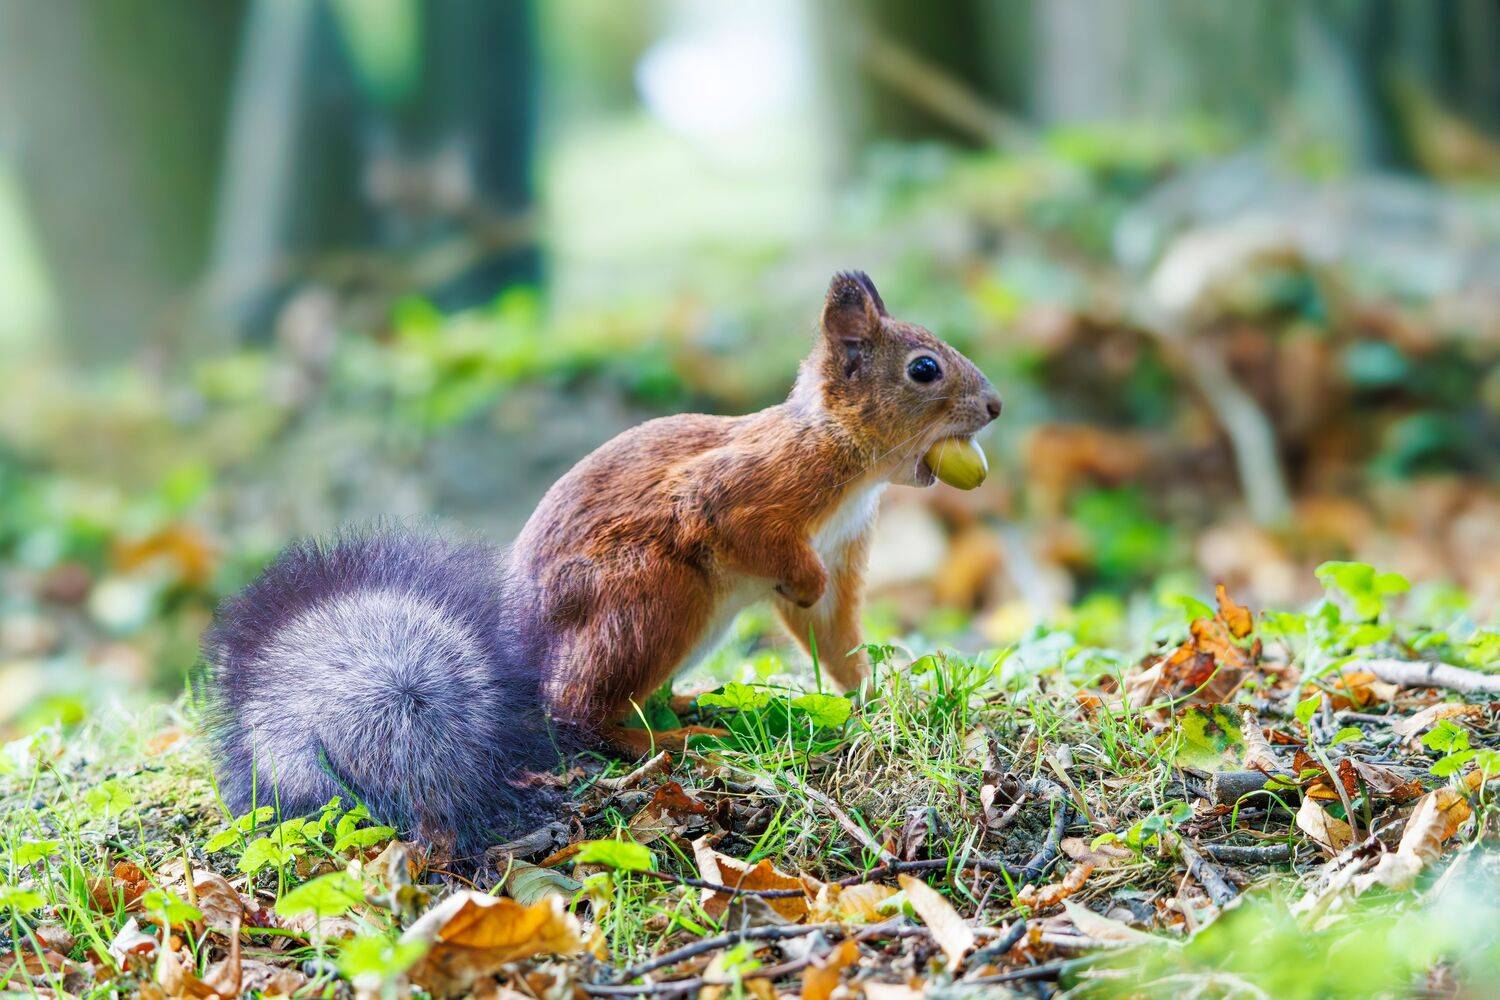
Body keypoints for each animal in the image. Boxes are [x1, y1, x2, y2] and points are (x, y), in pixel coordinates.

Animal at [203, 271, 1002, 857]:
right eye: (924, 370)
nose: (994, 406)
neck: (851, 461)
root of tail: (516, 666)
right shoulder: (743, 492)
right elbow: (749, 536)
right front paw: (801, 588)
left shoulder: (844, 551)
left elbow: (834, 635)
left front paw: (871, 695)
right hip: (653, 597)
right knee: (576, 715)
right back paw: (666, 738)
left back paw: (682, 707)